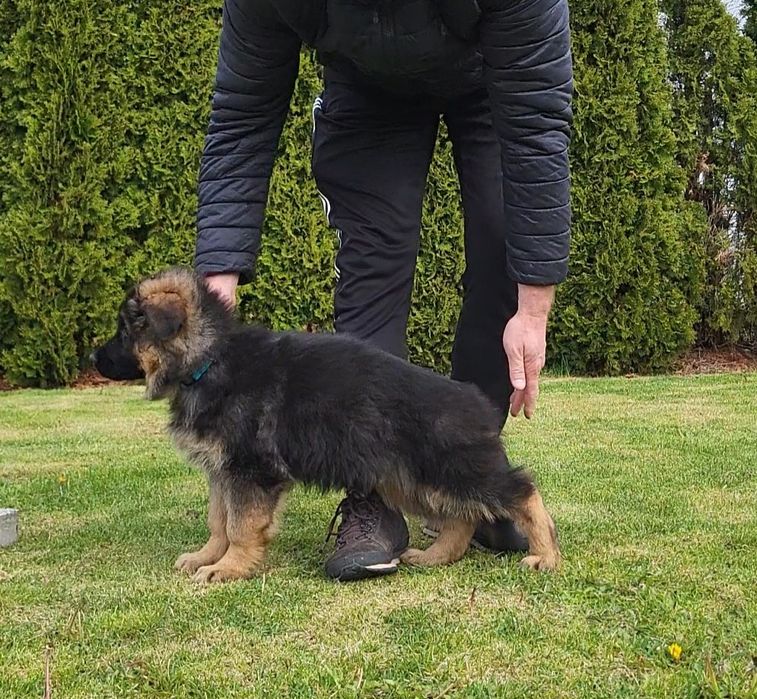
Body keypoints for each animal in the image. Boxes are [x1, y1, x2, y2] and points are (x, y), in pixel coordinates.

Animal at [93, 267, 561, 583]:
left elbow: (241, 526)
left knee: (522, 491)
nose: (93, 359)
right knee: (462, 517)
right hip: (413, 480)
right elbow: (218, 520)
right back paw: (435, 556)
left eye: (125, 330)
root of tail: (475, 400)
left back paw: (546, 555)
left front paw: (230, 567)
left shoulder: (250, 473)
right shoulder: (222, 472)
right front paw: (207, 556)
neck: (209, 359)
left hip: (454, 468)